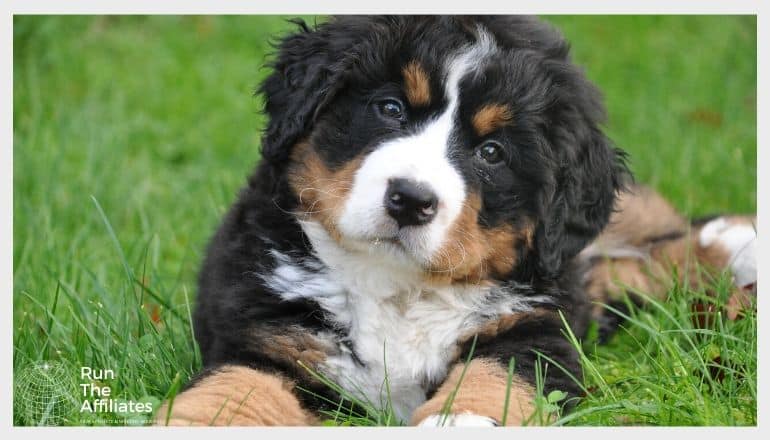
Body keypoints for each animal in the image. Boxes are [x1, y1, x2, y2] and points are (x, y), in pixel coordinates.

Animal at [156, 16, 756, 426]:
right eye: (390, 108)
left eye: (492, 152)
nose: (410, 200)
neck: (398, 288)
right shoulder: (266, 330)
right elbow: (236, 390)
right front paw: (198, 422)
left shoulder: (535, 331)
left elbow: (492, 379)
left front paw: (462, 421)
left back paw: (737, 245)